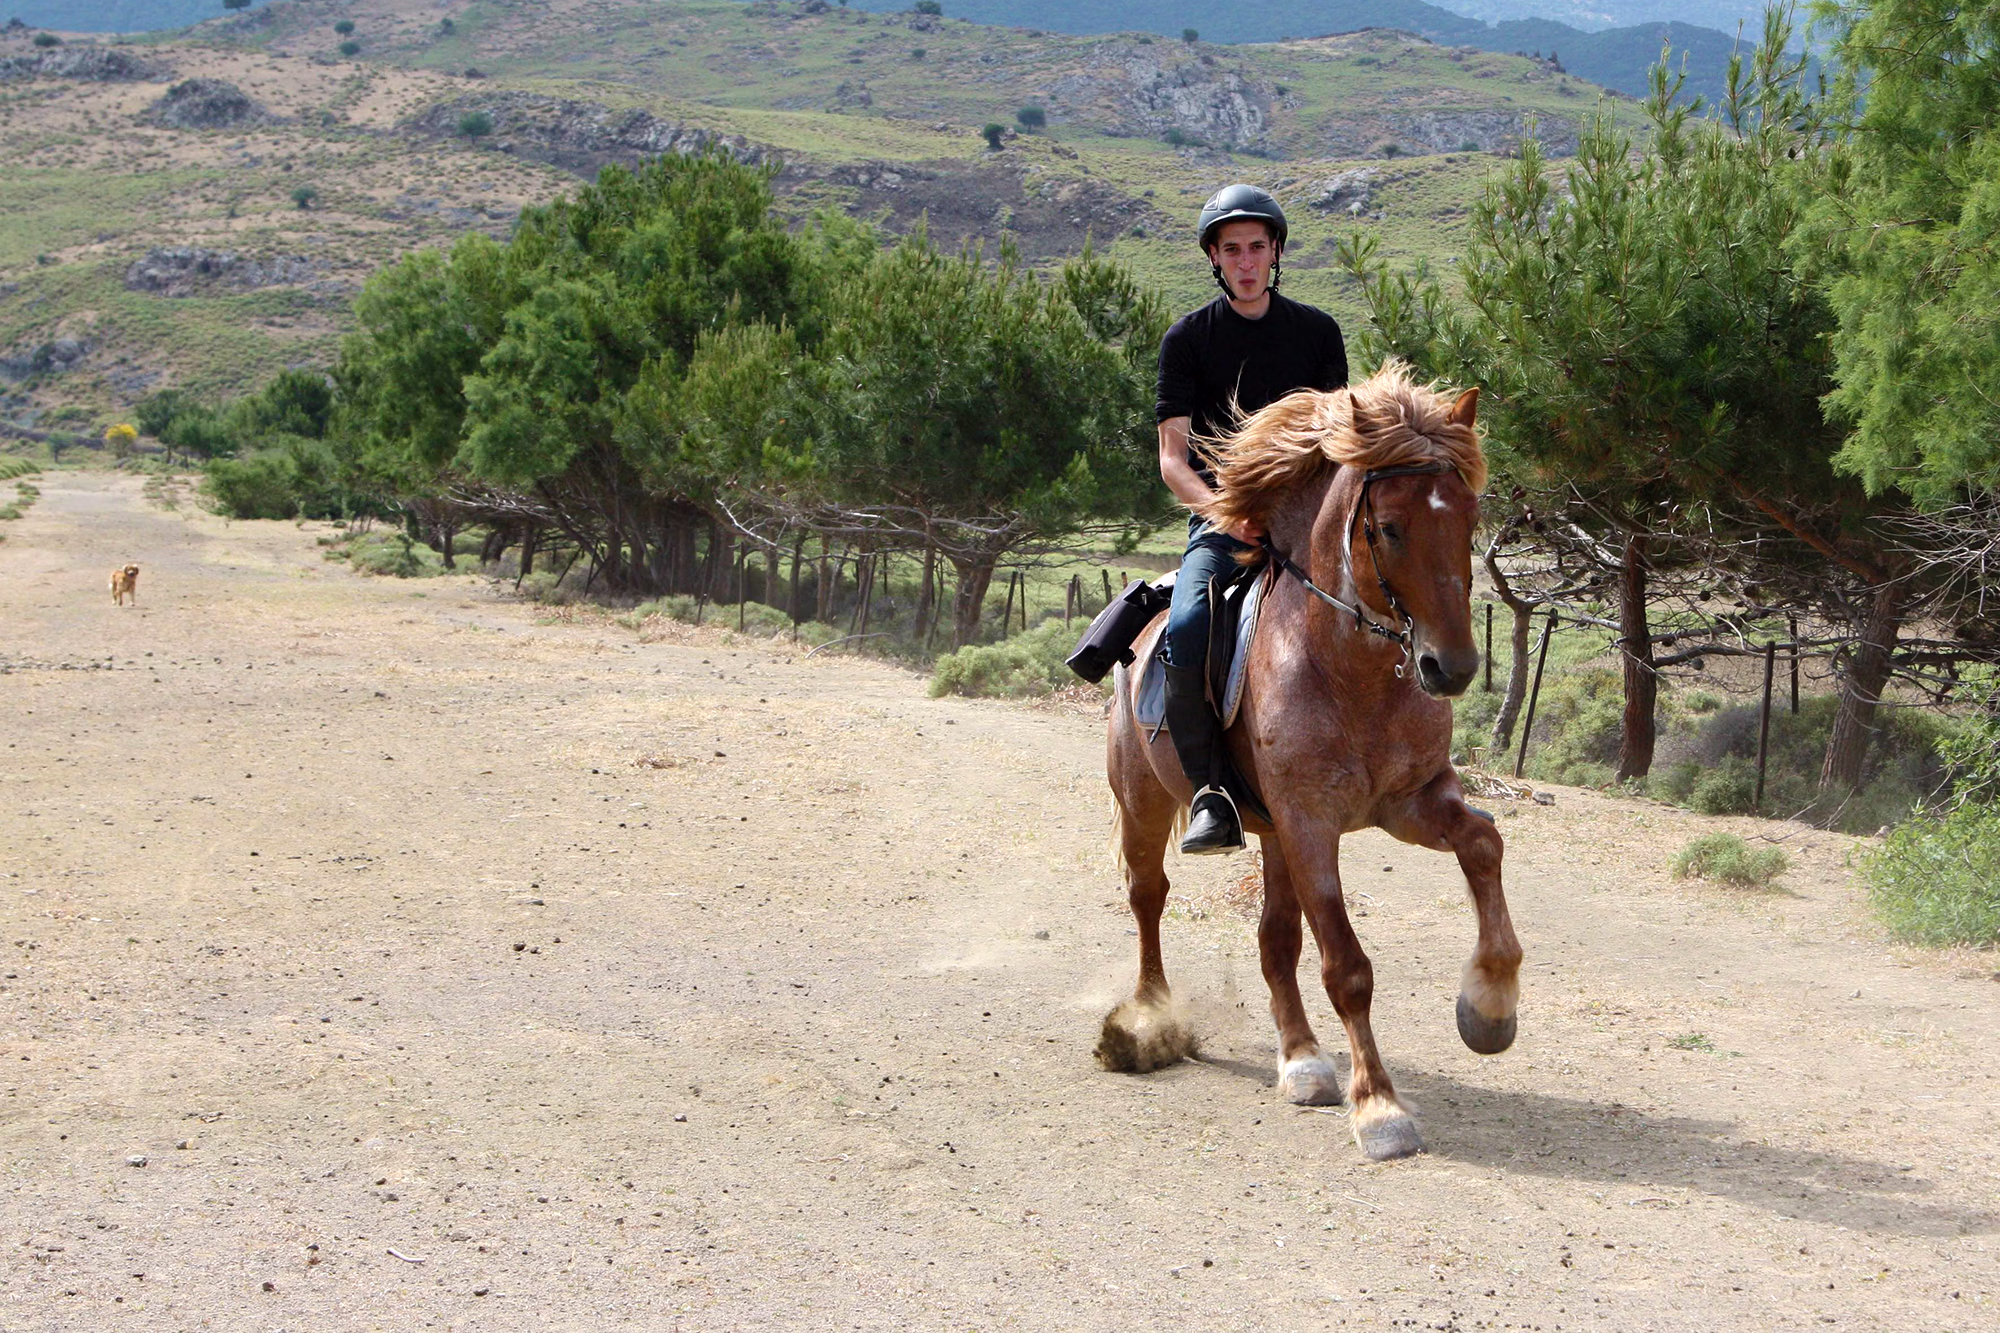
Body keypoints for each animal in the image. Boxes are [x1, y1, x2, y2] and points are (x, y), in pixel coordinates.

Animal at [1100, 362, 1522, 1162]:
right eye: (1388, 527)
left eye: (1468, 519)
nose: (1449, 668)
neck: (1351, 670)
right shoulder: (1311, 823)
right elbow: (1347, 966)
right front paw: (1380, 1108)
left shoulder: (1410, 802)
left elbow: (1484, 843)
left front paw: (1489, 1007)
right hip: (1147, 803)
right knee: (1148, 896)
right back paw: (1148, 1018)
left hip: (1269, 834)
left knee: (1274, 940)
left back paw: (1301, 1060)